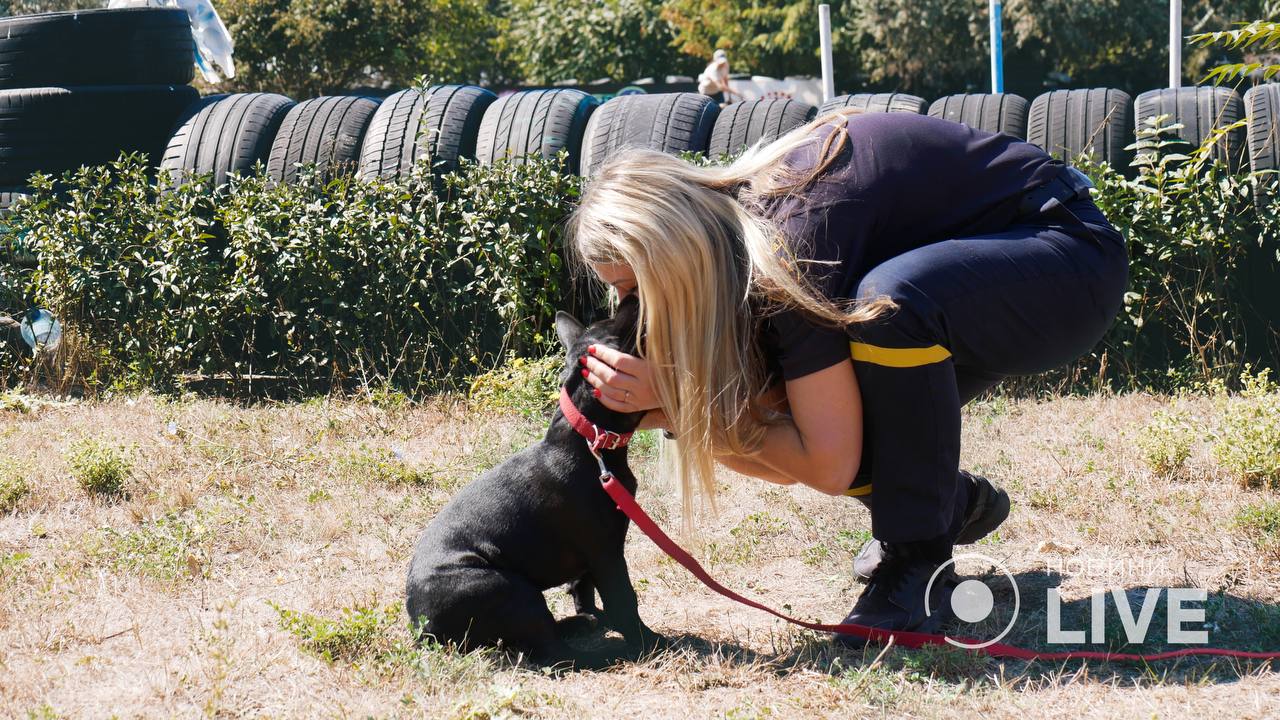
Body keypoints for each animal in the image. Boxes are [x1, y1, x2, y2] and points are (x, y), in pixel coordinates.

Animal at [404, 294, 660, 666]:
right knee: (555, 655)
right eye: (626, 334)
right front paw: (649, 641)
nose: (633, 297)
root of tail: (422, 628)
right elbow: (624, 600)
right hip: (512, 590)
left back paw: (579, 624)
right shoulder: (607, 553)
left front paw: (597, 616)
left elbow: (582, 588)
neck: (589, 438)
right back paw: (610, 653)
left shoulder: (592, 557)